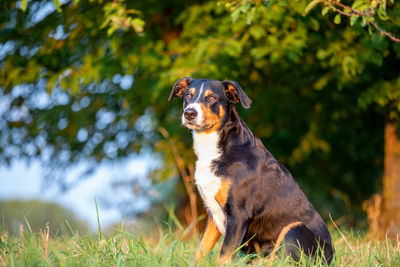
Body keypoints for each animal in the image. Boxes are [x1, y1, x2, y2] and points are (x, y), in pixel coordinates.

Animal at [169, 78, 334, 266]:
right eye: (188, 95)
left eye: (211, 98)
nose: (189, 113)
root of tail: (331, 257)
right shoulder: (213, 214)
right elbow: (201, 250)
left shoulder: (238, 214)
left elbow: (224, 255)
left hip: (294, 229)